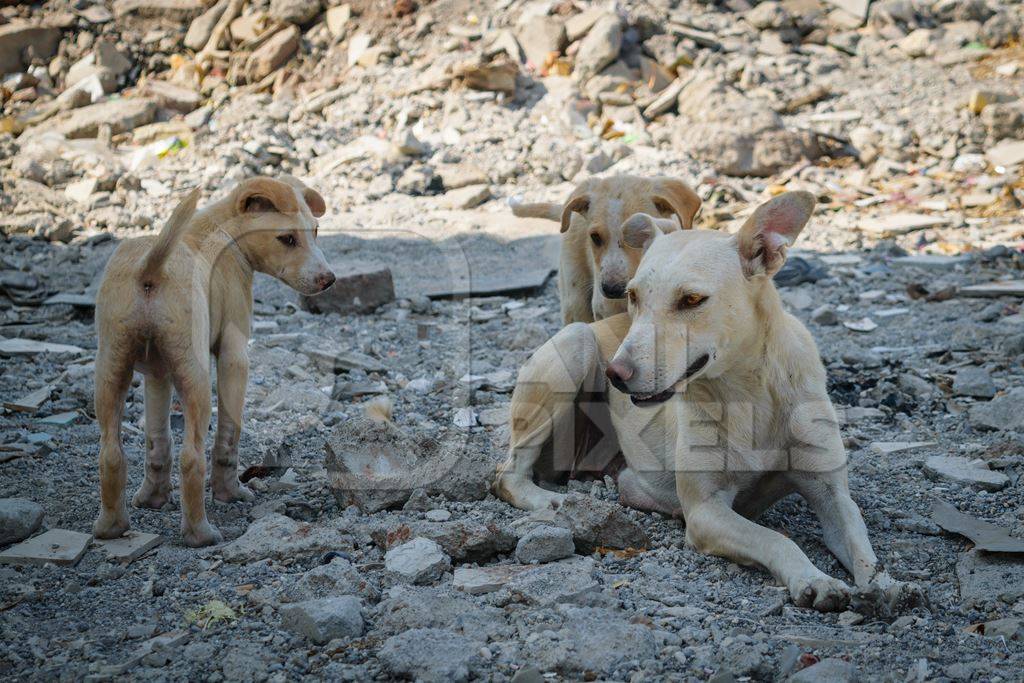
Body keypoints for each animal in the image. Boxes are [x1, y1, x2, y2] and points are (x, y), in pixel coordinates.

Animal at [93, 175, 335, 544]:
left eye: (316, 232)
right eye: (287, 238)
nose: (328, 280)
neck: (225, 233)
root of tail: (150, 268)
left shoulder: (158, 371)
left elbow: (157, 440)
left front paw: (152, 498)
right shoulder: (234, 355)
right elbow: (228, 435)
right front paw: (229, 492)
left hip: (111, 366)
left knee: (111, 453)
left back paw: (110, 527)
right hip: (195, 377)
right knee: (192, 457)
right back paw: (200, 533)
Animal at [491, 192, 917, 614]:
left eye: (692, 299)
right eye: (633, 296)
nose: (616, 374)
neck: (749, 394)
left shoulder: (831, 493)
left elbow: (860, 539)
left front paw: (885, 584)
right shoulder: (705, 511)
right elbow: (776, 539)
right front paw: (814, 580)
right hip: (574, 346)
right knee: (507, 475)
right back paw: (554, 503)